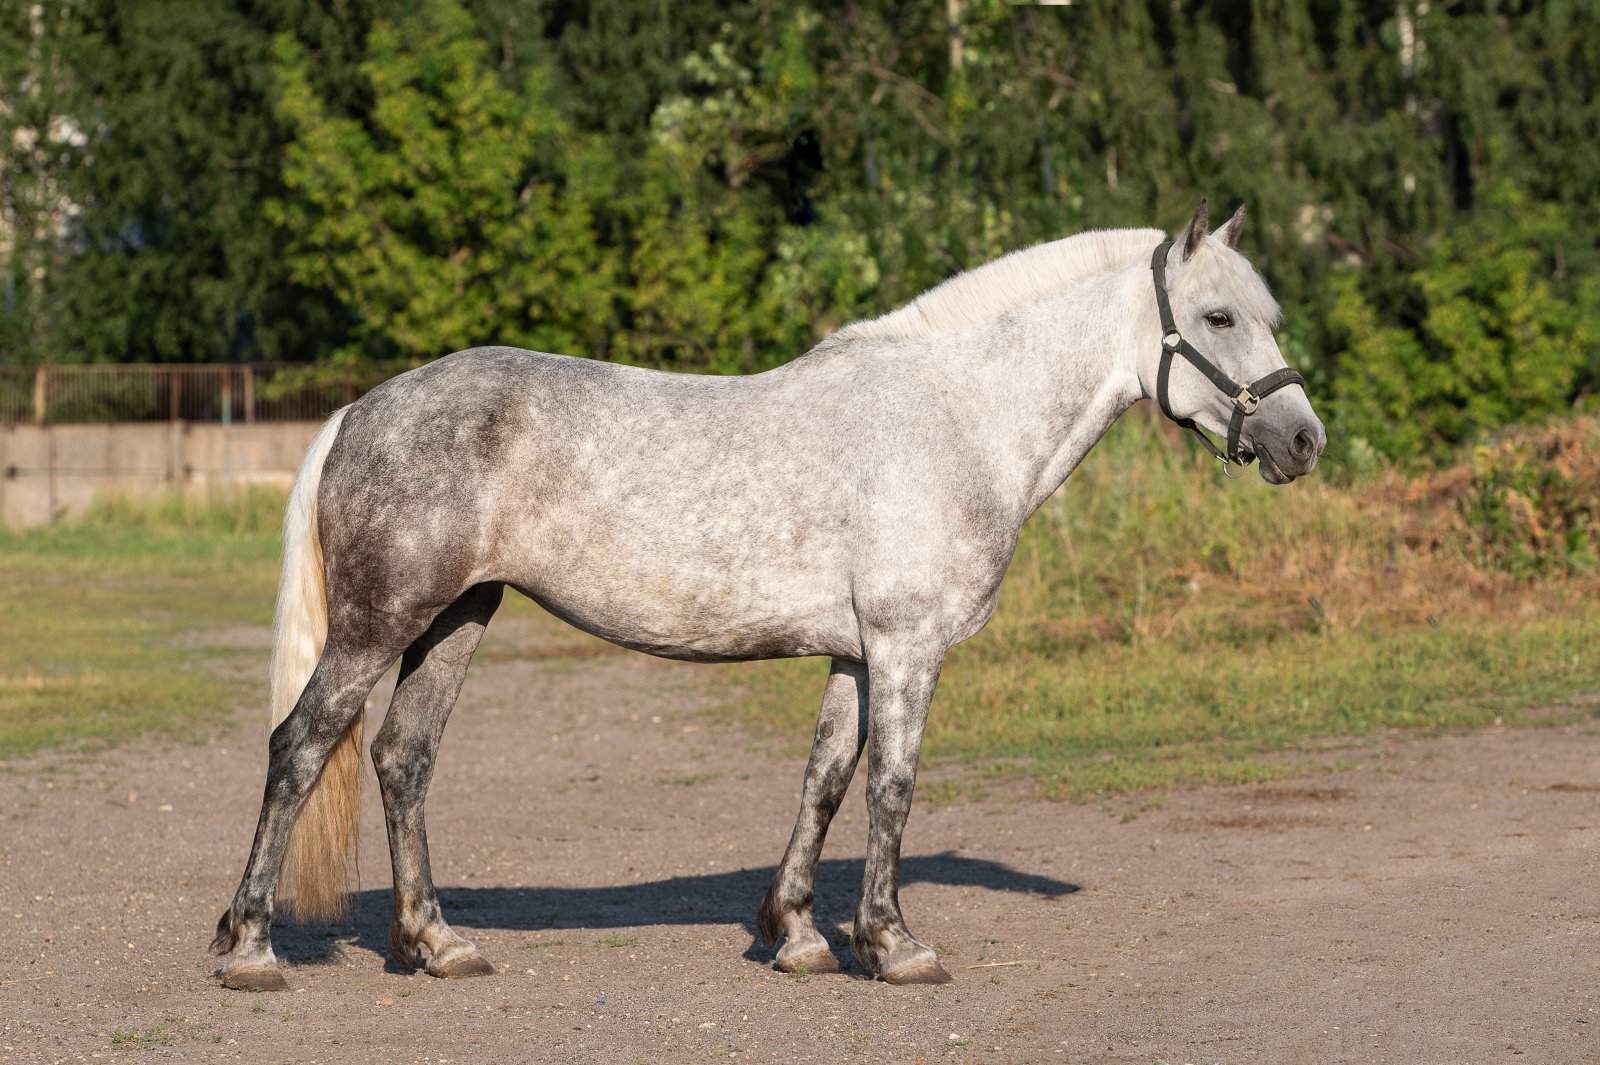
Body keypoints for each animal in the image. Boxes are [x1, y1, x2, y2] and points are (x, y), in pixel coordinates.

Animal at [211, 202, 1324, 991]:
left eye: (1265, 315)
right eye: (1218, 317)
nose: (1303, 441)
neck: (953, 418)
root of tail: (363, 407)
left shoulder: (856, 653)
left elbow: (824, 780)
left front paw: (796, 936)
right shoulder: (907, 647)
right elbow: (891, 787)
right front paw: (894, 945)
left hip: (455, 619)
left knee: (403, 761)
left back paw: (437, 944)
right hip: (378, 625)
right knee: (299, 747)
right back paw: (252, 947)